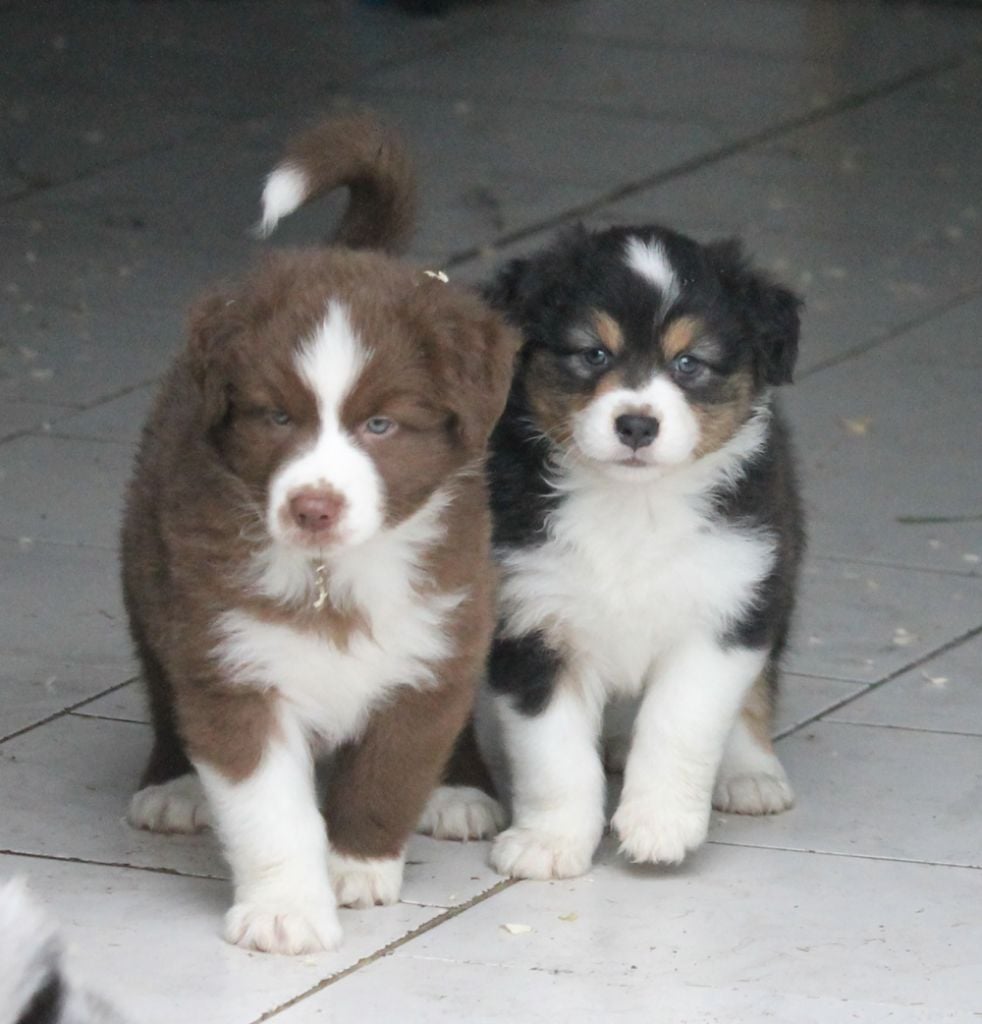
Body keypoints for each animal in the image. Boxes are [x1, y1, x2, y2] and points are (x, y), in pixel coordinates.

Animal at [121, 113, 517, 953]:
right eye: (276, 417)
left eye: (381, 425)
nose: (313, 507)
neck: (333, 574)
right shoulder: (232, 664)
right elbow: (268, 809)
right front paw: (285, 912)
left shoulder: (430, 641)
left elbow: (388, 775)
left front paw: (356, 869)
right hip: (146, 571)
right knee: (160, 682)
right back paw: (171, 784)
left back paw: (461, 789)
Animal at [419, 223, 804, 879]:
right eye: (593, 354)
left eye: (688, 364)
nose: (637, 425)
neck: (633, 505)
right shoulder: (531, 622)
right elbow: (553, 754)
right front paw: (549, 843)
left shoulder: (726, 602)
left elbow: (680, 721)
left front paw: (659, 825)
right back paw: (455, 797)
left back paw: (750, 774)